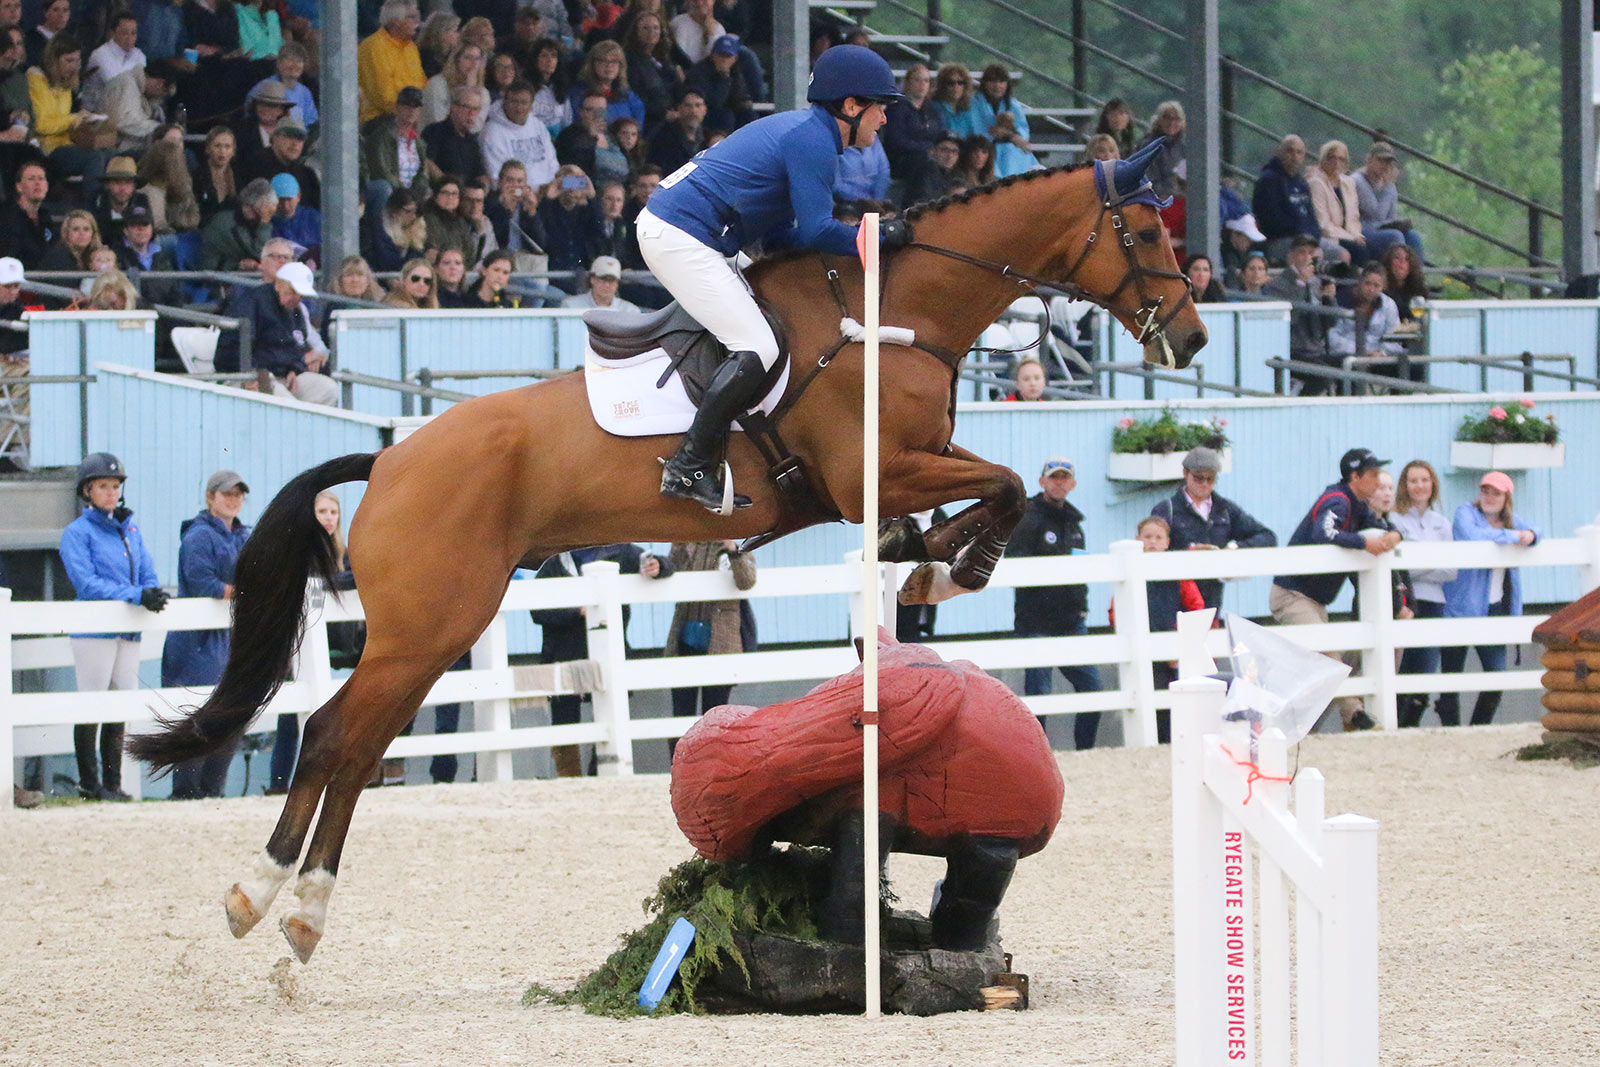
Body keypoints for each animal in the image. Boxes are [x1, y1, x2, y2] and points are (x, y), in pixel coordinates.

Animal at [128, 144, 1206, 965]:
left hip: (434, 630)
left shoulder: (892, 475)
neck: (894, 317)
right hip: (429, 623)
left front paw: (931, 555)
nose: (1192, 338)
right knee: (334, 737)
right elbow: (1010, 485)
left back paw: (298, 910)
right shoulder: (877, 471)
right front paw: (957, 560)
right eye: (1149, 233)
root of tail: (389, 456)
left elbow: (989, 490)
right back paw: (266, 896)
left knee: (358, 745)